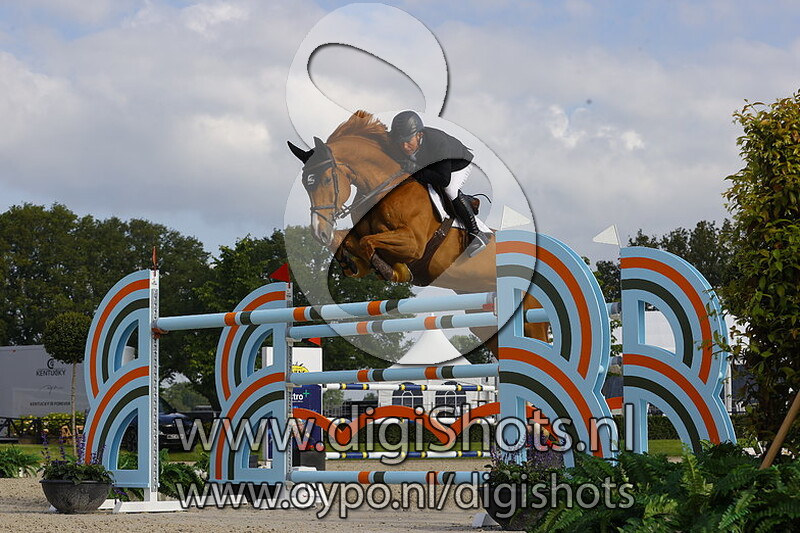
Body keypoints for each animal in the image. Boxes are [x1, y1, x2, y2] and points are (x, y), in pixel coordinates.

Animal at [288, 110, 547, 346]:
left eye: (326, 180)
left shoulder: (413, 243)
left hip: (530, 318)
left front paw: (391, 271)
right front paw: (351, 264)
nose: (318, 231)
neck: (383, 190)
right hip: (482, 320)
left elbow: (367, 242)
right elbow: (348, 240)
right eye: (305, 184)